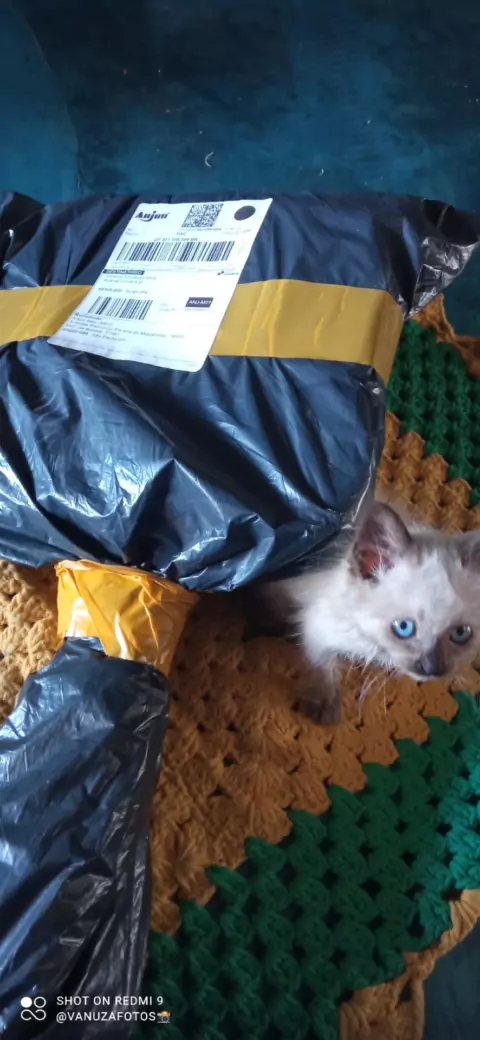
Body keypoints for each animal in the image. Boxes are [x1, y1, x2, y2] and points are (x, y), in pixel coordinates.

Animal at [272, 501, 480, 723]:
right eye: (404, 628)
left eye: (461, 633)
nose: (432, 669)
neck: (377, 646)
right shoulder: (317, 623)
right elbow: (321, 660)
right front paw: (323, 704)